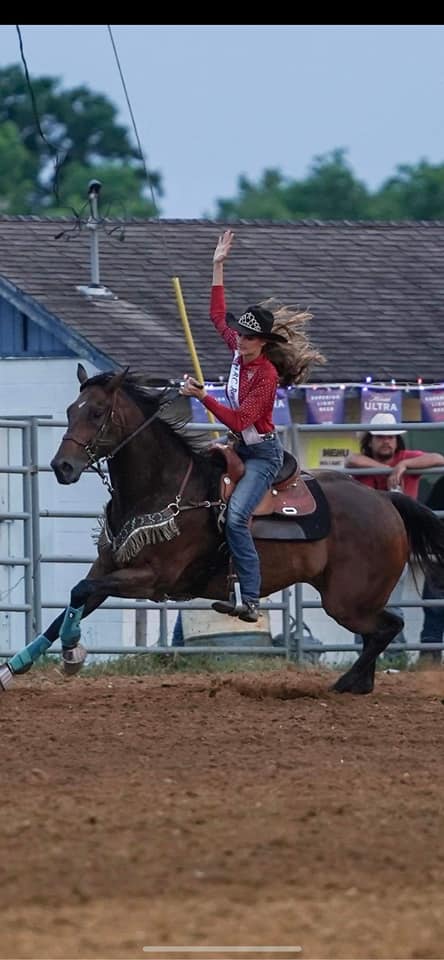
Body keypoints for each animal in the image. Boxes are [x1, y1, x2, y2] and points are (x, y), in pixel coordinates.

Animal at [2, 364, 444, 692]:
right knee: (381, 631)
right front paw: (14, 668)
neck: (163, 486)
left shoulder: (152, 578)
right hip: (349, 598)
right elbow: (73, 601)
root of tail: (385, 501)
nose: (62, 466)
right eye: (70, 410)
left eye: (96, 412)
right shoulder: (109, 567)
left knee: (390, 627)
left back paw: (347, 682)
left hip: (347, 601)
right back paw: (359, 683)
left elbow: (80, 593)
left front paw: (72, 654)